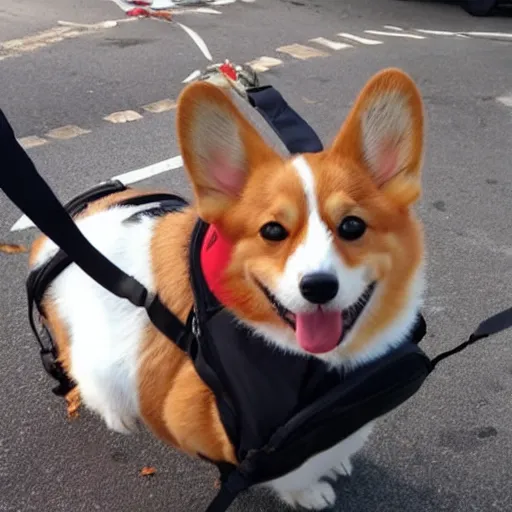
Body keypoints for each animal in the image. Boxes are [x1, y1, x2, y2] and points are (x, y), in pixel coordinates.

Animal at [27, 67, 424, 508]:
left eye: (352, 226)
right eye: (272, 231)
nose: (318, 287)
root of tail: (53, 241)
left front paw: (336, 464)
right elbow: (293, 474)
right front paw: (310, 493)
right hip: (98, 360)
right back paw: (120, 417)